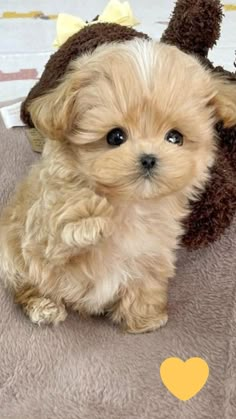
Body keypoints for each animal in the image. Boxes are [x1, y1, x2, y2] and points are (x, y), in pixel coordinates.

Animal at [0, 40, 236, 334]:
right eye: (115, 137)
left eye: (175, 138)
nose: (149, 158)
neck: (129, 203)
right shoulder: (41, 240)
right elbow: (58, 235)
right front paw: (89, 216)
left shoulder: (152, 251)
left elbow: (146, 282)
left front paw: (144, 320)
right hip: (11, 256)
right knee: (27, 285)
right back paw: (44, 306)